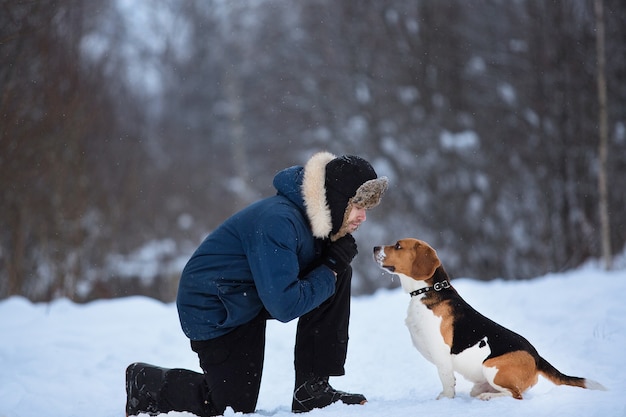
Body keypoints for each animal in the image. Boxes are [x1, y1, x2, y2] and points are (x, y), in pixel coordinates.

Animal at [370, 237, 604, 400]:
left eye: (398, 246)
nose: (374, 248)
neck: (428, 290)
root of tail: (537, 358)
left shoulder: (441, 353)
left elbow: (446, 380)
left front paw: (445, 400)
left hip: (492, 367)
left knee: (515, 395)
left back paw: (488, 397)